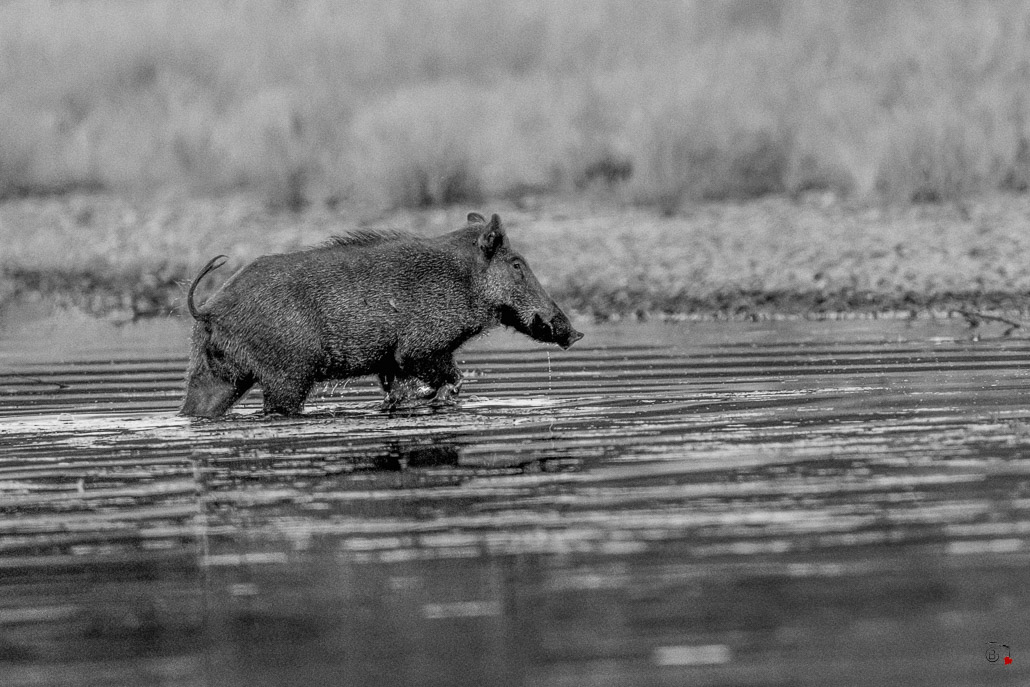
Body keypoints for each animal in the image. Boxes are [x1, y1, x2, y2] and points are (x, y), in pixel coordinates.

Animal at [180, 212, 583, 418]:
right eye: (517, 264)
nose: (573, 332)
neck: (464, 280)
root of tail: (209, 310)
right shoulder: (418, 349)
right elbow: (452, 380)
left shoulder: (391, 365)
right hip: (287, 376)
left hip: (217, 376)